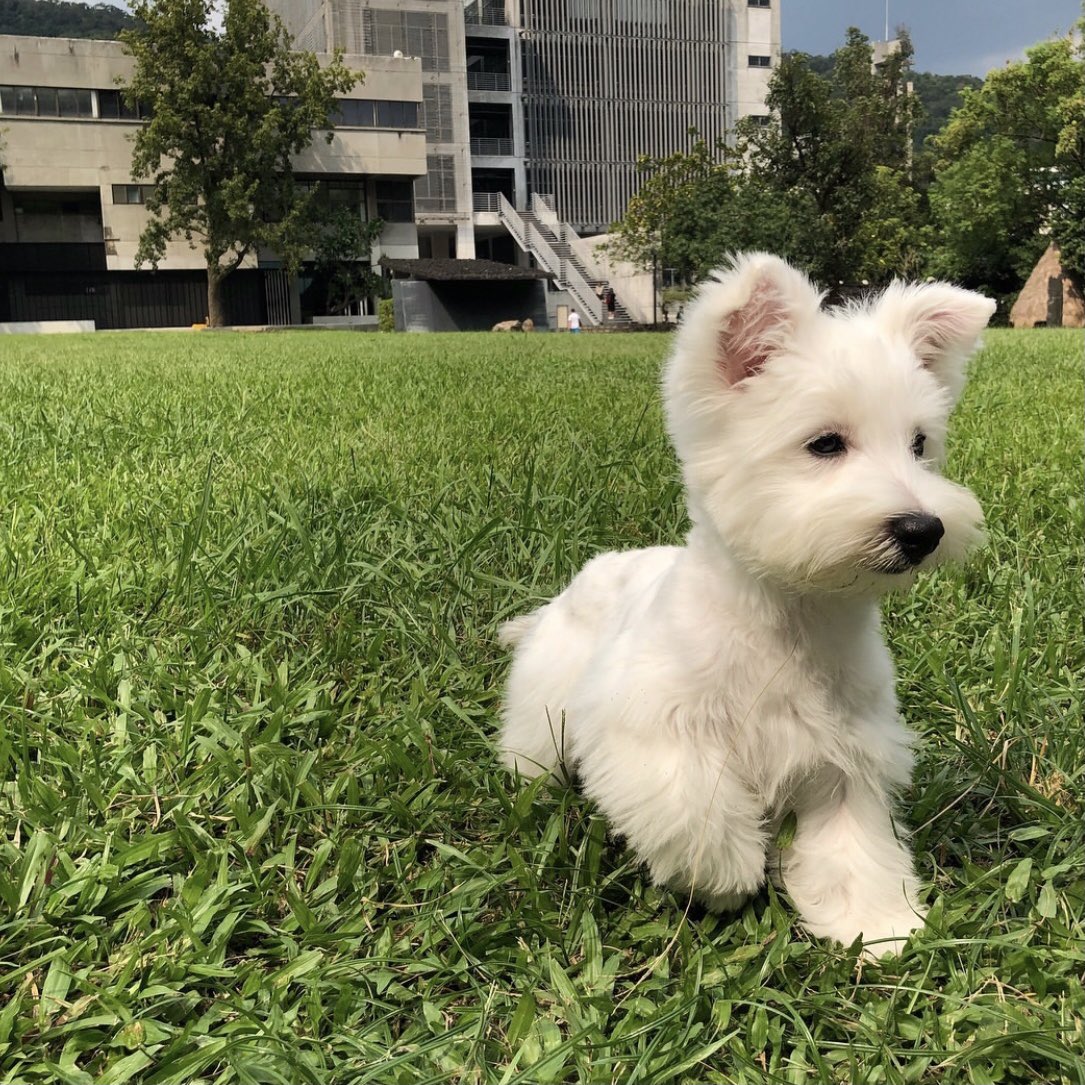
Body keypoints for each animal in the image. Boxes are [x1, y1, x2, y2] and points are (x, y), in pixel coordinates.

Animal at [496, 253, 993, 959]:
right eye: (825, 443)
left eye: (919, 444)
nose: (923, 529)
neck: (792, 620)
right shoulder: (646, 727)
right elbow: (692, 807)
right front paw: (728, 872)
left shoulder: (849, 760)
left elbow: (855, 848)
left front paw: (875, 923)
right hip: (549, 699)